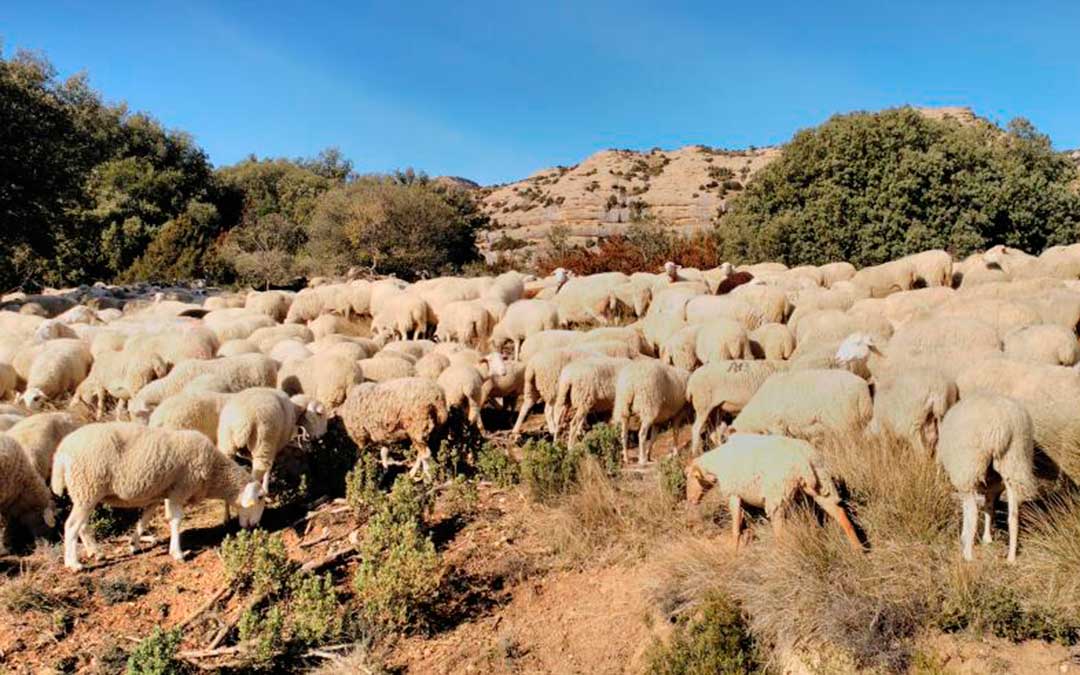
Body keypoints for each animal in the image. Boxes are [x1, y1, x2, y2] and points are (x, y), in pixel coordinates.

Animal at [52, 423, 266, 569]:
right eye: (260, 499)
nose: (255, 526)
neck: (214, 472)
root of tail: (61, 452)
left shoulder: (158, 495)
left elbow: (144, 520)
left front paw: (134, 544)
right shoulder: (180, 490)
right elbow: (176, 520)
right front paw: (177, 553)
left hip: (84, 493)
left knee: (82, 525)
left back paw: (95, 552)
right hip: (87, 487)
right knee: (71, 526)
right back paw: (73, 564)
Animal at [686, 433, 861, 551]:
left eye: (690, 478)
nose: (691, 500)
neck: (718, 464)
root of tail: (803, 460)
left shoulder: (733, 493)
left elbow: (735, 524)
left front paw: (734, 548)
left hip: (777, 495)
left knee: (780, 533)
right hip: (823, 484)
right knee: (840, 514)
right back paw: (858, 548)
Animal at [936, 394, 1036, 563]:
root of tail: (999, 425)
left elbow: (973, 509)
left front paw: (967, 538)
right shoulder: (993, 485)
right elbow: (989, 507)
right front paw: (987, 539)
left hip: (969, 465)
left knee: (973, 513)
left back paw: (968, 555)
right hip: (1013, 460)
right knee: (1013, 515)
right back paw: (1011, 558)